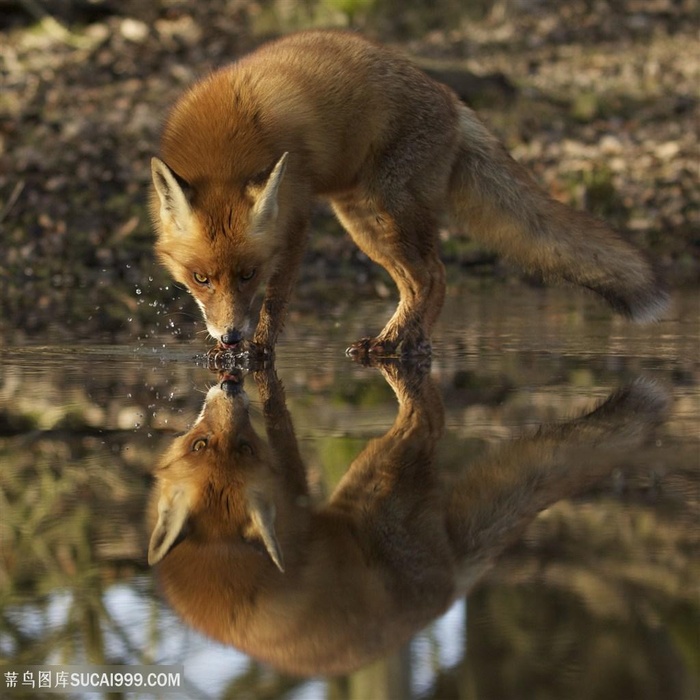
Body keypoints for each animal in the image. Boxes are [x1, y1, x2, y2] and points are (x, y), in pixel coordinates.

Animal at [148, 364, 668, 676]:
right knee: (428, 418)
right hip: (380, 469)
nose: (231, 383)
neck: (220, 555)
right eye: (201, 444)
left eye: (243, 448)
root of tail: (448, 593)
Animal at [152, 30, 668, 356]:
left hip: (388, 211)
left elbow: (276, 300)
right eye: (200, 278)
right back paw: (401, 339)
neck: (225, 148)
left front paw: (258, 351)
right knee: (415, 283)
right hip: (362, 222)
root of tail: (452, 99)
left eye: (248, 275)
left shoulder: (296, 220)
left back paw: (402, 345)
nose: (231, 338)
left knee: (435, 277)